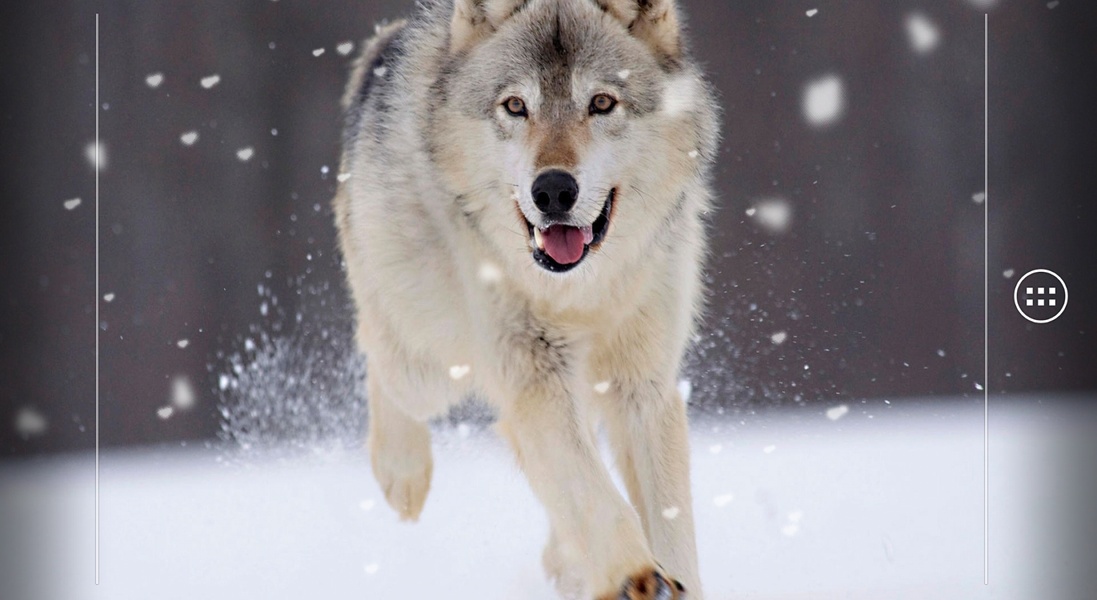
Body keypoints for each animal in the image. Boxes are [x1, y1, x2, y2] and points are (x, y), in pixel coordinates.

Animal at [333, 0, 719, 597]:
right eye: (516, 106)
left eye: (601, 103)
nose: (554, 190)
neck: (581, 292)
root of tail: (384, 44)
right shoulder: (533, 375)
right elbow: (593, 493)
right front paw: (633, 575)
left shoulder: (643, 385)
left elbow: (669, 521)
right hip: (429, 365)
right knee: (379, 355)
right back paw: (403, 475)